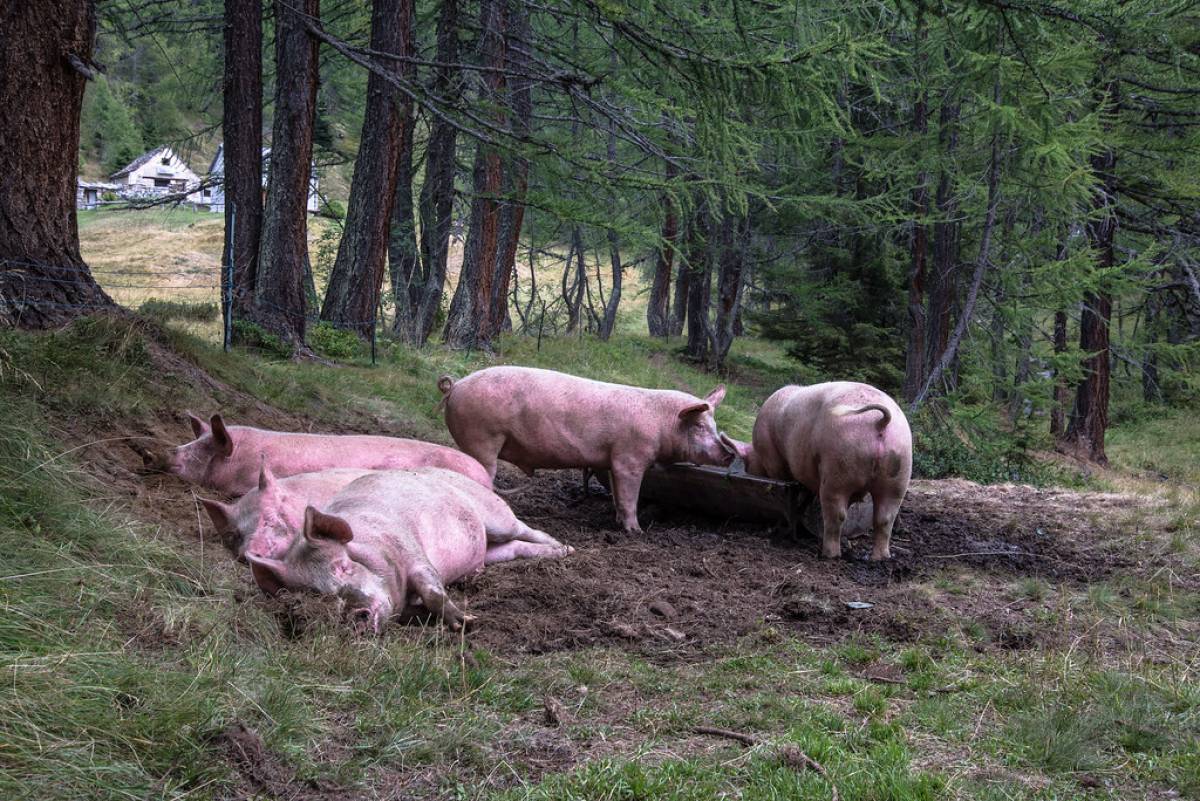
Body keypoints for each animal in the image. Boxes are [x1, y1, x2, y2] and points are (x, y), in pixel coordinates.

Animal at [243, 470, 571, 633]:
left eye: (343, 566)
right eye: (313, 592)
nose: (352, 615)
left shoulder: (412, 552)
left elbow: (432, 588)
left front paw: (464, 623)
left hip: (496, 516)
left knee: (526, 530)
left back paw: (566, 548)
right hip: (490, 550)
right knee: (515, 549)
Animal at [436, 366, 734, 532]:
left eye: (713, 424)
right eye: (700, 426)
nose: (729, 453)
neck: (662, 423)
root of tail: (455, 386)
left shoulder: (613, 461)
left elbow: (617, 495)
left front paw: (619, 523)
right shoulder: (630, 458)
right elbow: (630, 496)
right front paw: (636, 531)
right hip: (483, 438)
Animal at [720, 383, 907, 561]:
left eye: (748, 465)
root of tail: (881, 421)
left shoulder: (773, 461)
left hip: (837, 469)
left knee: (837, 515)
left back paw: (827, 554)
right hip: (898, 476)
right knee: (884, 518)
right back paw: (879, 558)